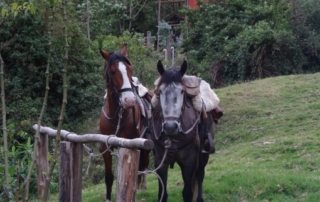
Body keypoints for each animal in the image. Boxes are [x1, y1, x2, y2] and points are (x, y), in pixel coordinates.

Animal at [99, 45, 151, 201]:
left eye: (129, 69)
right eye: (112, 71)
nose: (129, 100)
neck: (116, 117)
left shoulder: (130, 145)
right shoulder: (106, 147)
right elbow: (109, 177)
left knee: (143, 165)